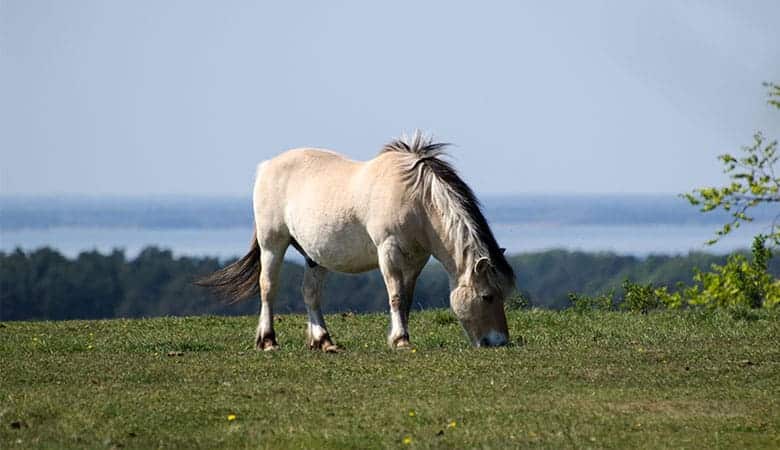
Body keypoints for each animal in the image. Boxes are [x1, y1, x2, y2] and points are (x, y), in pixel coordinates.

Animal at [196, 132, 515, 351]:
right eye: (487, 296)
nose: (499, 341)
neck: (416, 199)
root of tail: (266, 167)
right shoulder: (389, 251)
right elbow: (395, 295)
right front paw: (400, 340)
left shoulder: (417, 259)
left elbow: (407, 297)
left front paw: (400, 335)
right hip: (272, 243)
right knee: (268, 288)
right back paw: (268, 341)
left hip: (314, 255)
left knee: (310, 294)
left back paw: (324, 341)